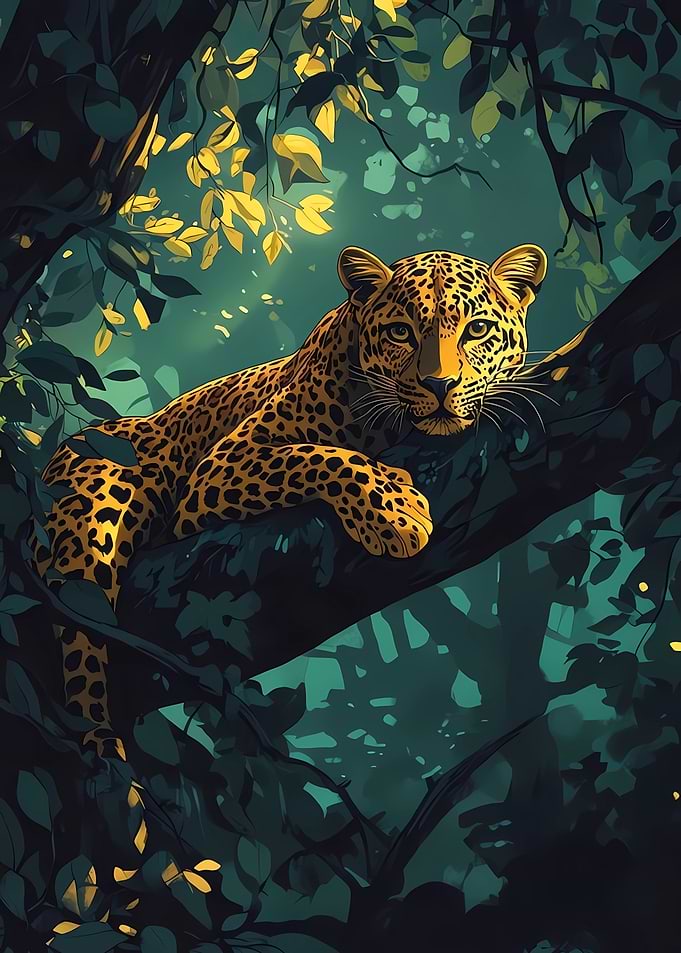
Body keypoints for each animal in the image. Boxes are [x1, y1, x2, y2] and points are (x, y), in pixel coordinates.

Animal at [31, 242, 547, 757]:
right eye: (401, 332)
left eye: (476, 329)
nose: (439, 385)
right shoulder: (219, 468)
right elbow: (317, 455)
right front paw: (395, 512)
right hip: (94, 510)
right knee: (82, 640)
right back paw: (99, 735)